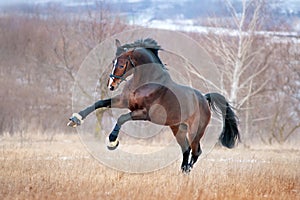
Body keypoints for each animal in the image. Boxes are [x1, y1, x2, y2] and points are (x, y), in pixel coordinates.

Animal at [67, 38, 239, 173]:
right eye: (113, 62)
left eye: (122, 65)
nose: (111, 85)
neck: (144, 82)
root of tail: (203, 98)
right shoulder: (123, 101)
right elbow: (100, 103)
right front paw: (75, 119)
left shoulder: (144, 113)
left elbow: (122, 118)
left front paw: (112, 141)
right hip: (177, 128)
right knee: (186, 149)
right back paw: (182, 171)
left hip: (195, 131)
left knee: (196, 151)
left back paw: (187, 171)